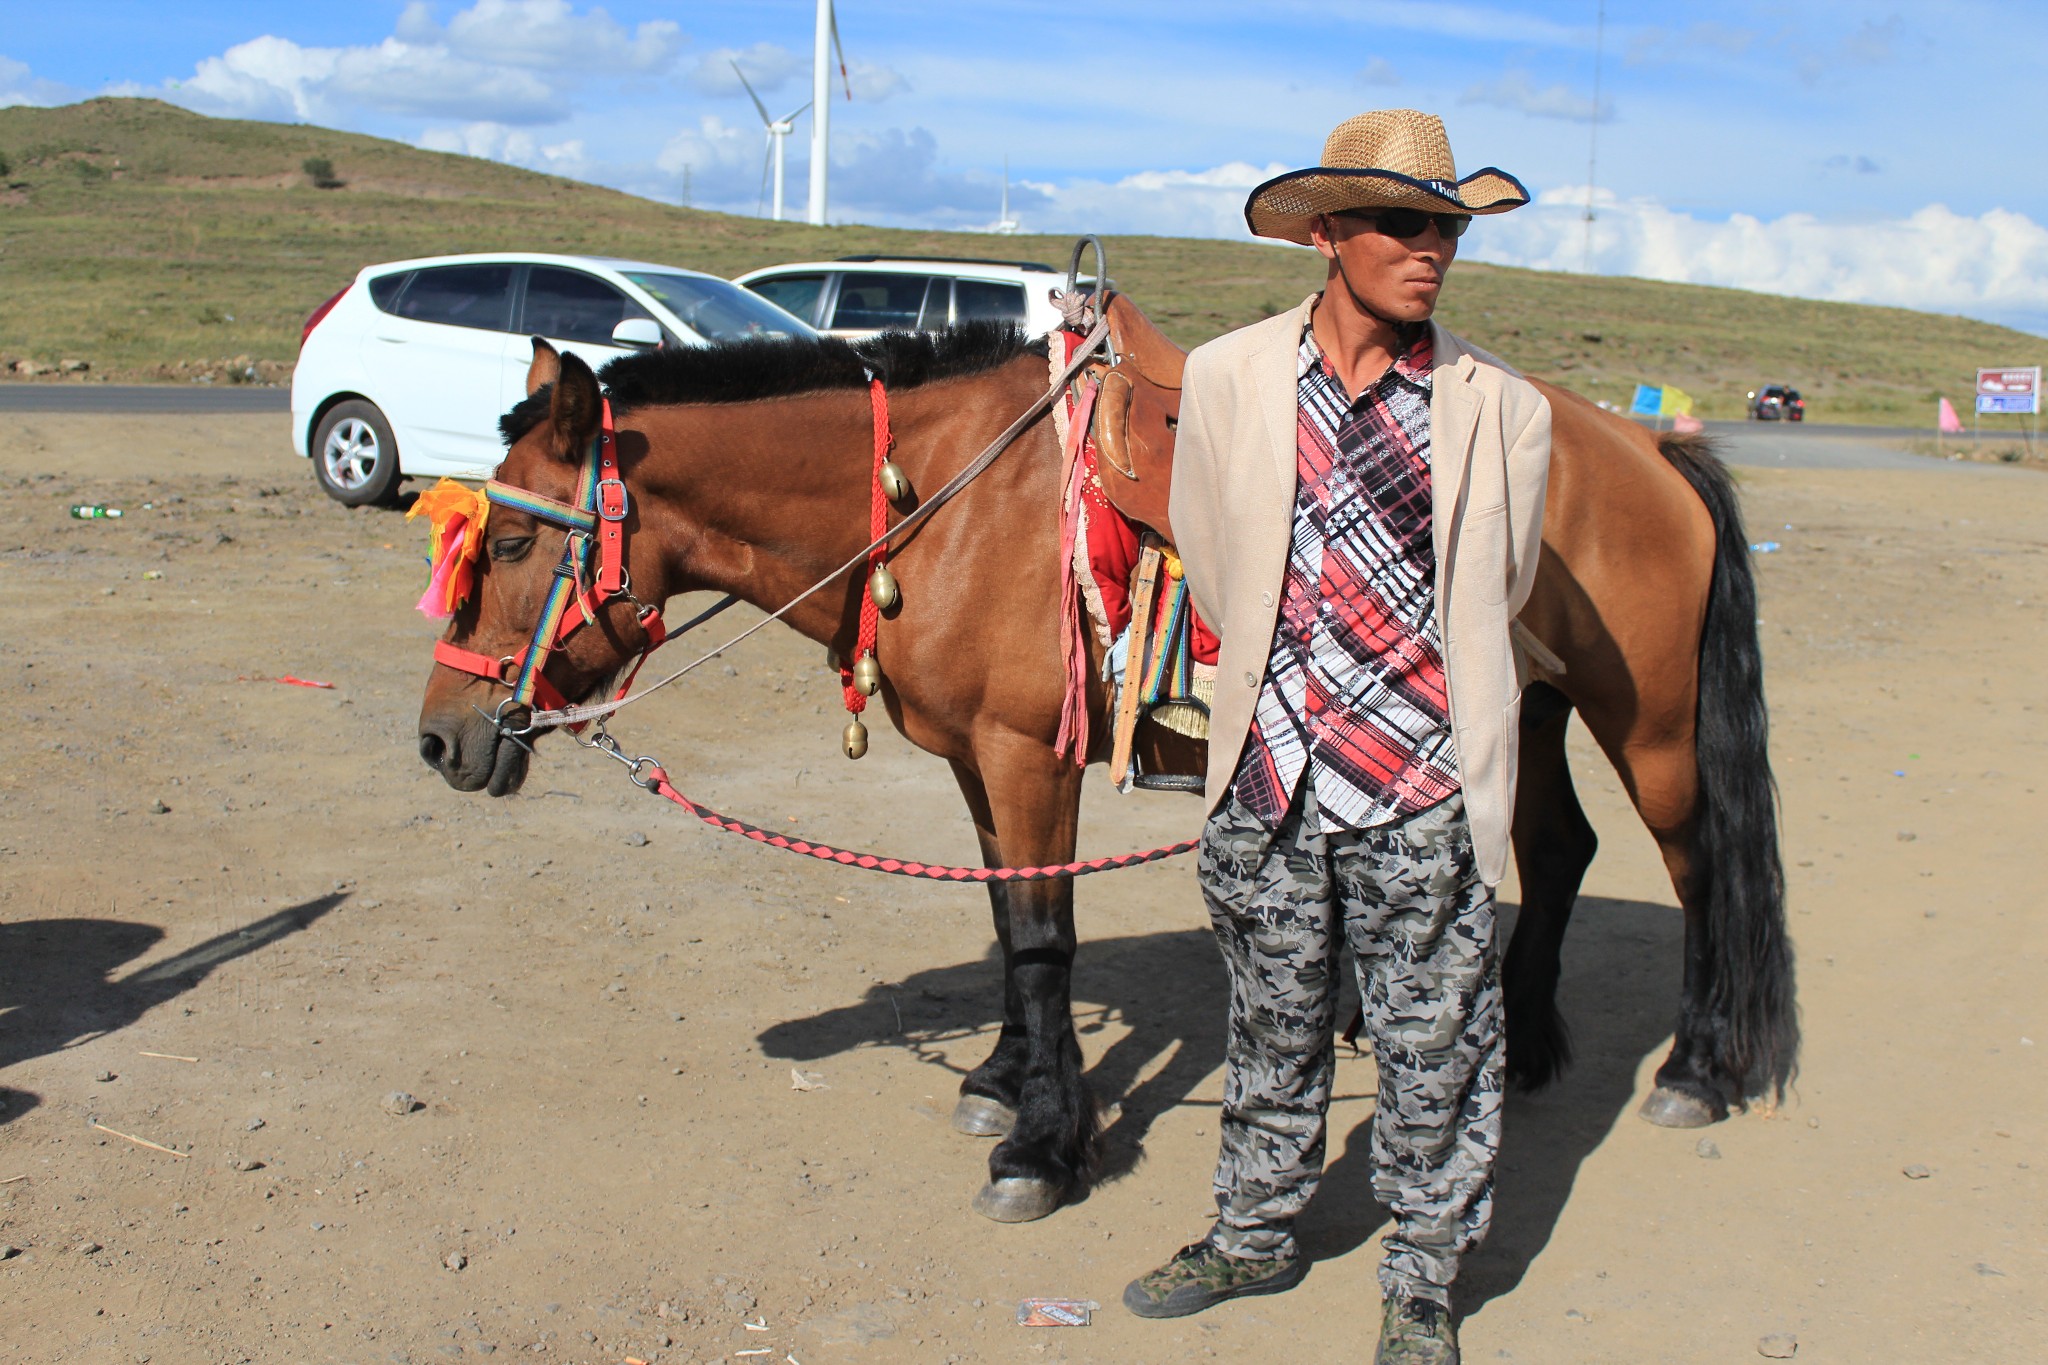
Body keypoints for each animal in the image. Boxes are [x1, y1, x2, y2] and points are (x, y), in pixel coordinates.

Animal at [415, 323, 1794, 1227]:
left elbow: (1041, 939)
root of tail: (1646, 447)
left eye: (521, 540)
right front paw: (1001, 1081)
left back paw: (1693, 1070)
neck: (939, 499)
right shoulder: (976, 762)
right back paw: (1530, 1037)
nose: (439, 739)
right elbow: (1005, 921)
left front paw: (1041, 1145)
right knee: (1558, 850)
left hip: (1649, 725)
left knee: (1696, 869)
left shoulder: (1029, 756)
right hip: (1532, 707)